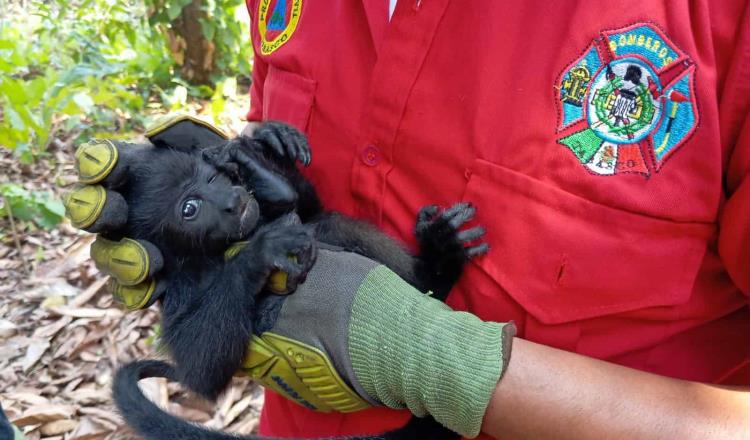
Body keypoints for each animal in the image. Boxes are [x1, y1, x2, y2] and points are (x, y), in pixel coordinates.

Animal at [110, 121, 488, 440]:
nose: (231, 201)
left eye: (213, 179)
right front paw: (260, 252)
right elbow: (201, 368)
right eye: (190, 208)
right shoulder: (182, 284)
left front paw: (262, 150)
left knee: (331, 224)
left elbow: (307, 209)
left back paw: (437, 260)